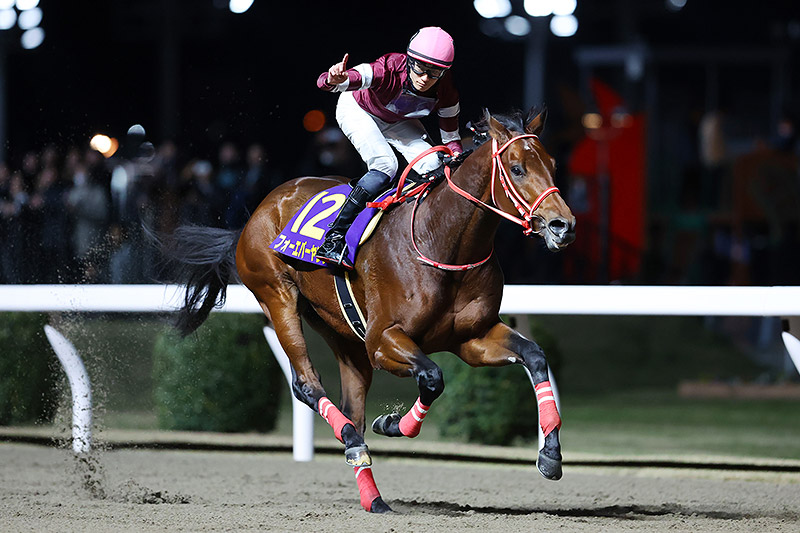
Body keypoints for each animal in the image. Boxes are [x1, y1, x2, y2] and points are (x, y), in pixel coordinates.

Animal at [159, 107, 576, 513]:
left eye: (553, 164)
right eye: (518, 168)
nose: (563, 225)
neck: (442, 240)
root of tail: (259, 210)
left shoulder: (473, 338)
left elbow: (535, 356)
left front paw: (550, 455)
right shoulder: (382, 340)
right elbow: (432, 377)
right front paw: (393, 423)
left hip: (339, 329)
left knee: (352, 405)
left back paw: (371, 495)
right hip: (277, 296)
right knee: (307, 384)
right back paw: (354, 446)